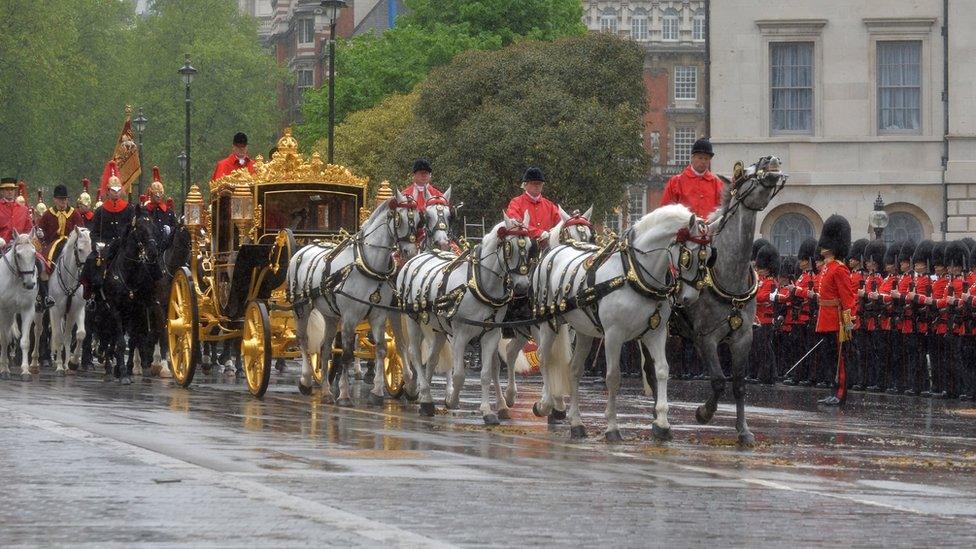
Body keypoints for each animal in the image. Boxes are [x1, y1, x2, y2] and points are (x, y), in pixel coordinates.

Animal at [0, 232, 39, 382]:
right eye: (18, 254)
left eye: (34, 253)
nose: (29, 284)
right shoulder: (3, 310)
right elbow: (4, 339)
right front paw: (4, 369)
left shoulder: (28, 310)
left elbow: (25, 342)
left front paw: (25, 371)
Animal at [37, 228, 92, 376]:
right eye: (80, 249)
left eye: (91, 250)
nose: (86, 275)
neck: (70, 280)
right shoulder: (56, 310)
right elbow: (58, 336)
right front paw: (60, 366)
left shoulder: (77, 310)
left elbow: (79, 334)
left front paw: (71, 363)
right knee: (45, 331)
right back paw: (45, 359)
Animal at [284, 191, 418, 404]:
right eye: (399, 219)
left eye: (419, 220)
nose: (410, 252)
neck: (369, 266)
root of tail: (303, 249)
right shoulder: (349, 317)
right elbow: (347, 354)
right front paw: (345, 393)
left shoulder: (378, 316)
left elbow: (381, 349)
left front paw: (377, 392)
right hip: (301, 308)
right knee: (303, 340)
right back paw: (305, 381)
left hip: (330, 315)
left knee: (325, 348)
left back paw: (326, 391)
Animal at [394, 211, 532, 424]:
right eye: (510, 248)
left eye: (531, 246)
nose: (523, 286)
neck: (479, 285)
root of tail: (416, 257)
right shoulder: (460, 336)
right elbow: (459, 374)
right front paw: (452, 400)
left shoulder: (490, 335)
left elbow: (486, 373)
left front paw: (487, 411)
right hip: (413, 321)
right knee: (414, 354)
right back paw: (422, 394)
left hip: (439, 327)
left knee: (432, 359)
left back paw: (424, 393)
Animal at [532, 206, 708, 440]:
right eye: (689, 254)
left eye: (709, 255)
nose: (690, 297)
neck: (634, 275)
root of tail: (556, 250)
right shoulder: (613, 336)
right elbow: (613, 377)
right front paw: (612, 426)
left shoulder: (656, 332)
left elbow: (662, 369)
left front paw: (662, 423)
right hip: (548, 324)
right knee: (544, 359)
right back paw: (545, 404)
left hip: (584, 331)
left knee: (574, 369)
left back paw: (576, 422)